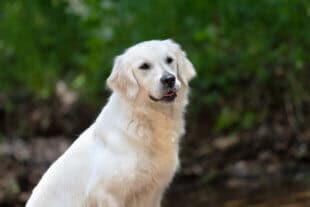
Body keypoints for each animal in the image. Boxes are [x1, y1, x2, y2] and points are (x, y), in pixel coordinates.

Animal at [26, 39, 196, 207]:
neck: (146, 120)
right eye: (144, 66)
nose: (169, 79)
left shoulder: (153, 192)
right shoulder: (107, 193)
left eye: (169, 60)